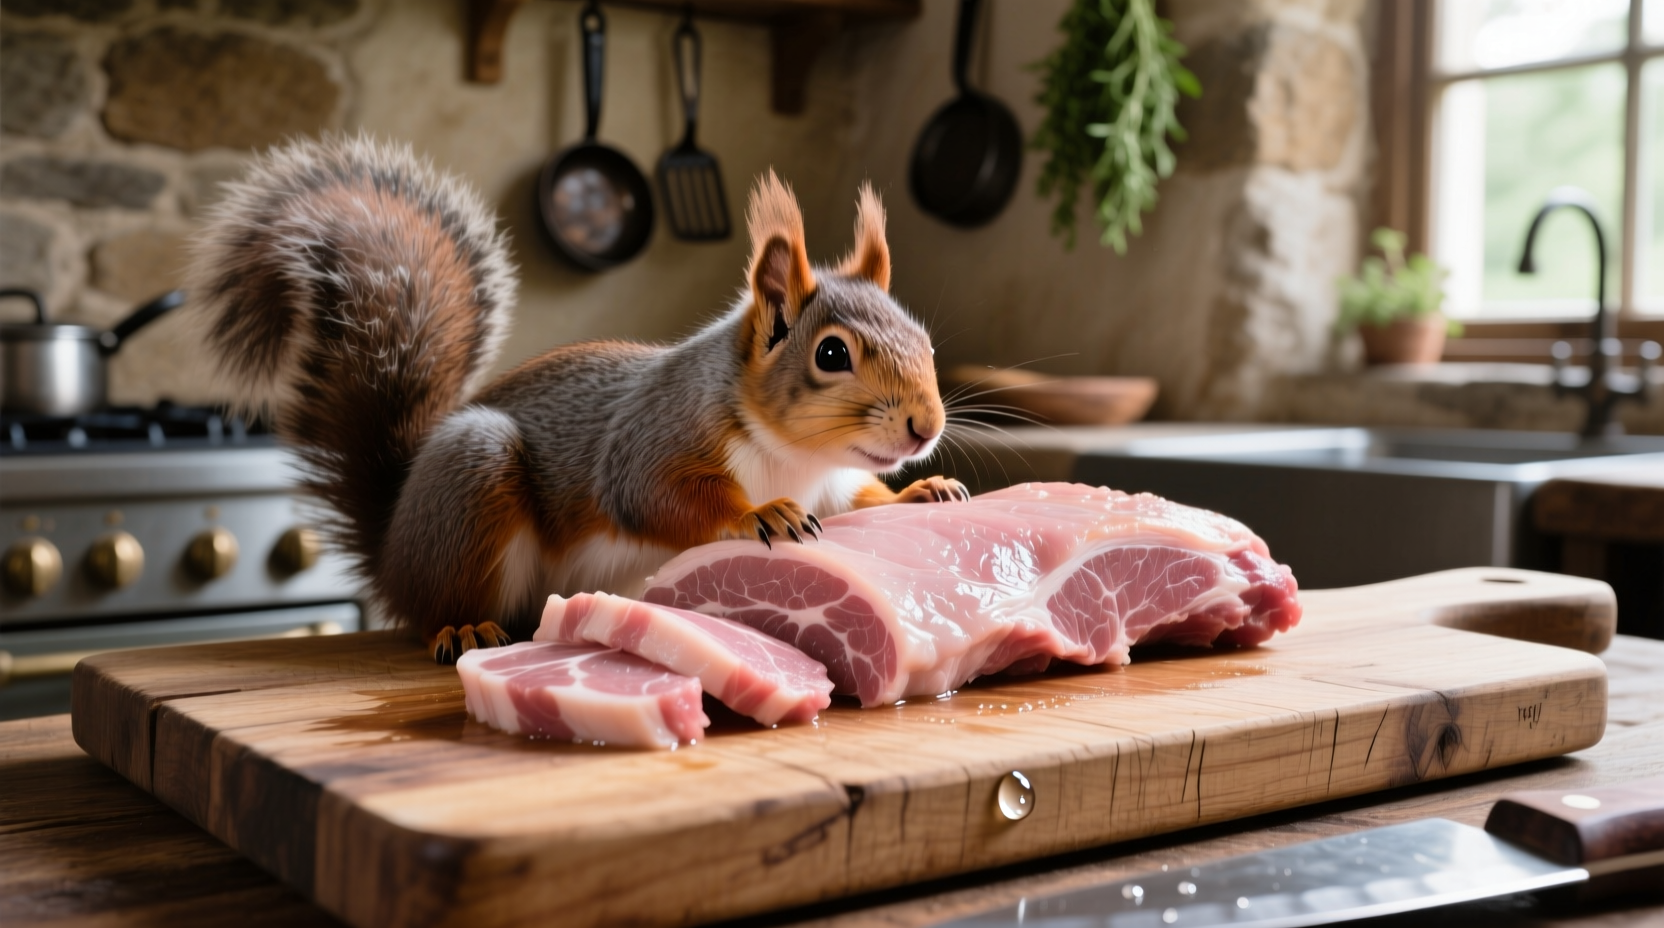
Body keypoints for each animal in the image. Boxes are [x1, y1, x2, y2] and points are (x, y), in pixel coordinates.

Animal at [185, 135, 968, 663]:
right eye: (831, 354)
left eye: (926, 340)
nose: (924, 427)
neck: (796, 459)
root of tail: (392, 548)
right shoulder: (658, 438)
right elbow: (659, 497)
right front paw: (759, 514)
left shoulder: (836, 485)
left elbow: (866, 501)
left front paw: (922, 490)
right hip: (472, 483)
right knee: (438, 605)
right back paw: (462, 627)